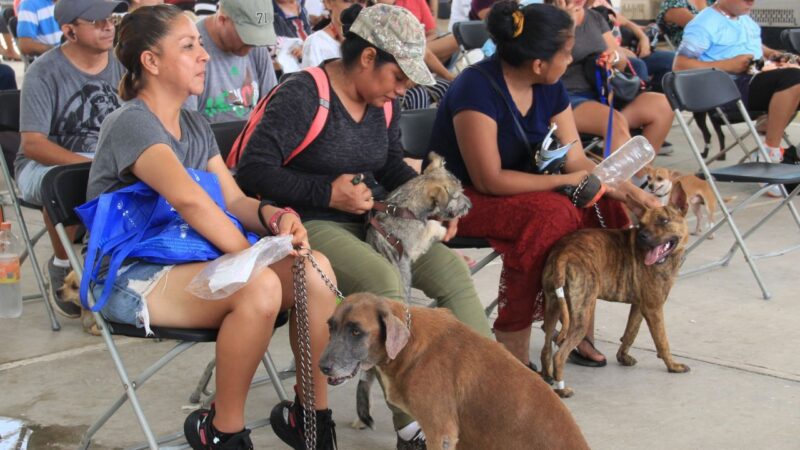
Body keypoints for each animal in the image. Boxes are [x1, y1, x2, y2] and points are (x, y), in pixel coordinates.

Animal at [540, 196, 692, 398]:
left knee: (546, 346)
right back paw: (562, 389)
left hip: (553, 306)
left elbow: (630, 332)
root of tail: (564, 253)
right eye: (642, 224)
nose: (642, 236)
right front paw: (673, 366)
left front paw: (623, 357)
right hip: (582, 313)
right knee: (559, 355)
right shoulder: (654, 308)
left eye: (664, 220)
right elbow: (662, 341)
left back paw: (546, 377)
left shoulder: (639, 306)